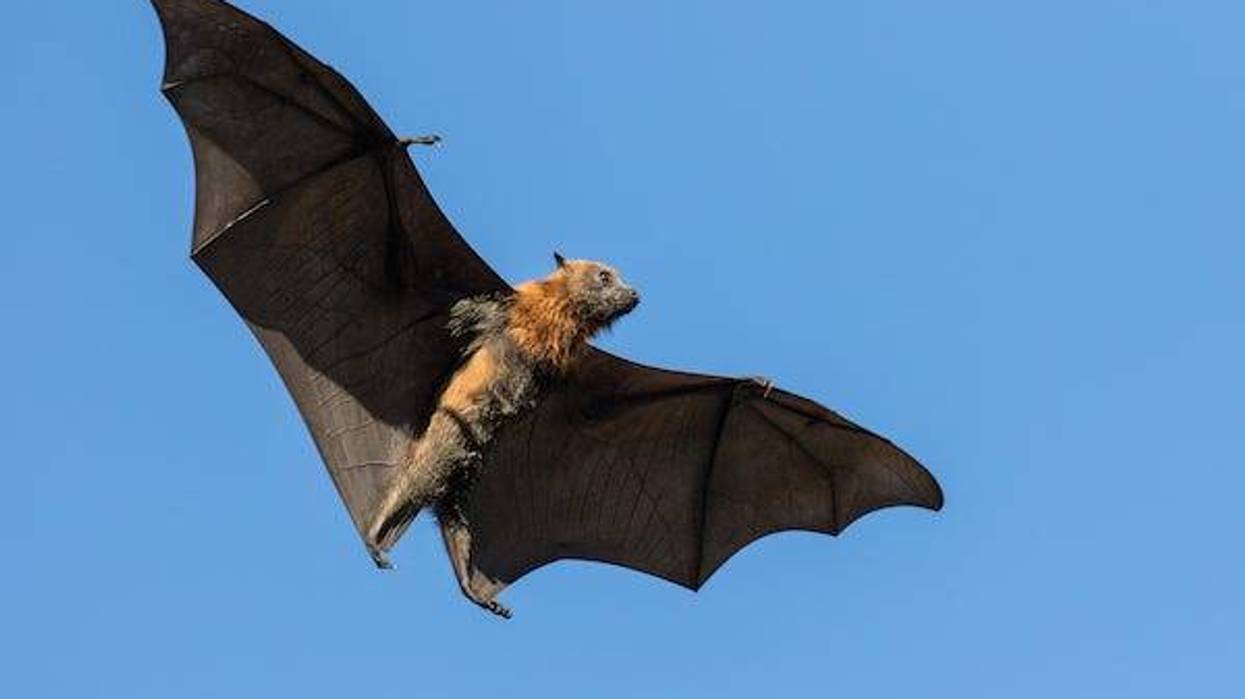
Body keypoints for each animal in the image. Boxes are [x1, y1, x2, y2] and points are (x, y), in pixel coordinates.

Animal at [366, 253, 640, 617]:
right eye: (604, 277)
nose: (634, 294)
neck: (561, 314)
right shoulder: (492, 311)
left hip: (460, 483)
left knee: (454, 520)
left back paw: (475, 592)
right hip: (440, 445)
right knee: (410, 483)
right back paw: (374, 540)